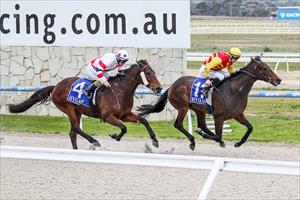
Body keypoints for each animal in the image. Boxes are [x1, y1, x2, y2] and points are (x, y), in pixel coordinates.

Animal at [8, 60, 162, 149]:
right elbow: (124, 128)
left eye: (154, 72)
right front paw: (115, 136)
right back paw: (94, 141)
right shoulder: (107, 116)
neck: (120, 90)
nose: (159, 88)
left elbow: (143, 121)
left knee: (73, 133)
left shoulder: (125, 115)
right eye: (148, 73)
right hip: (68, 108)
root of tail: (56, 86)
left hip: (77, 111)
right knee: (75, 128)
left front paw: (155, 141)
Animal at [138, 56, 282, 150]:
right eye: (264, 68)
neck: (235, 90)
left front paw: (238, 143)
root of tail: (173, 85)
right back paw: (193, 141)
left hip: (198, 109)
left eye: (268, 66)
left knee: (202, 125)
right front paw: (207, 136)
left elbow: (250, 128)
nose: (278, 80)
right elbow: (218, 135)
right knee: (178, 124)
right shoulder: (219, 116)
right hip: (183, 107)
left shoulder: (237, 114)